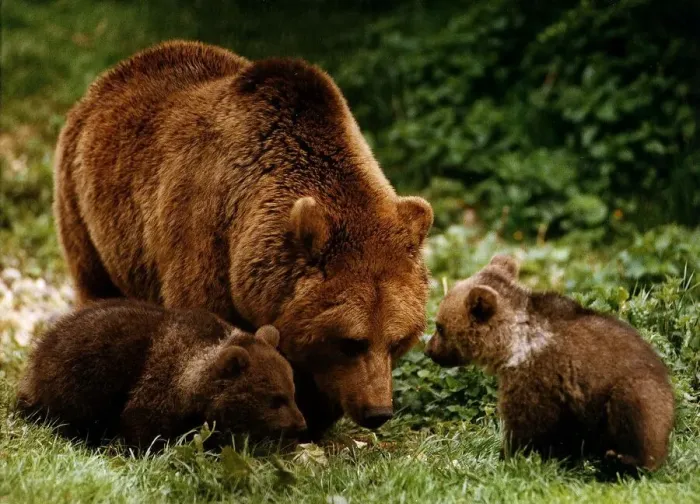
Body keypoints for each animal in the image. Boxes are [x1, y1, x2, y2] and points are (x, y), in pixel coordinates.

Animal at [17, 300, 307, 448]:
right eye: (276, 399)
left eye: (293, 392)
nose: (301, 425)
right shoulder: (157, 382)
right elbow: (142, 426)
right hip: (79, 376)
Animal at [53, 40, 433, 438]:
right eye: (351, 342)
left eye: (397, 340)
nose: (378, 411)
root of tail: (117, 72)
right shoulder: (206, 237)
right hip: (86, 209)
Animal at [425, 254, 675, 472]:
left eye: (439, 326)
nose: (429, 351)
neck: (511, 341)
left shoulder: (534, 376)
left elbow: (526, 424)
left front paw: (508, 455)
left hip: (640, 391)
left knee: (635, 413)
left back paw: (623, 460)